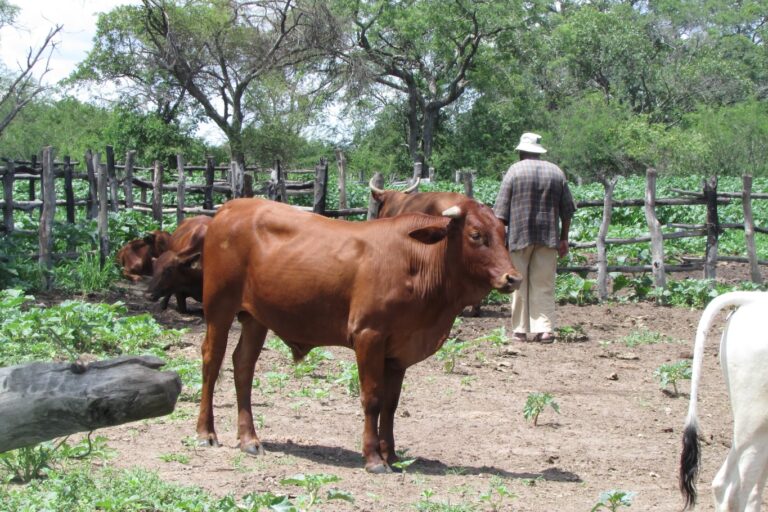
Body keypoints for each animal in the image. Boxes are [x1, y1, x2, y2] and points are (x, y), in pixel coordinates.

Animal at [196, 197, 520, 472]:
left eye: (502, 234)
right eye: (476, 234)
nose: (513, 278)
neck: (418, 262)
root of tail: (231, 207)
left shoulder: (399, 350)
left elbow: (391, 403)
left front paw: (391, 454)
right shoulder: (369, 336)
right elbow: (372, 398)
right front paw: (374, 458)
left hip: (255, 318)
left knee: (243, 366)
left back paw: (249, 439)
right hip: (219, 307)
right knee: (212, 361)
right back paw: (206, 432)